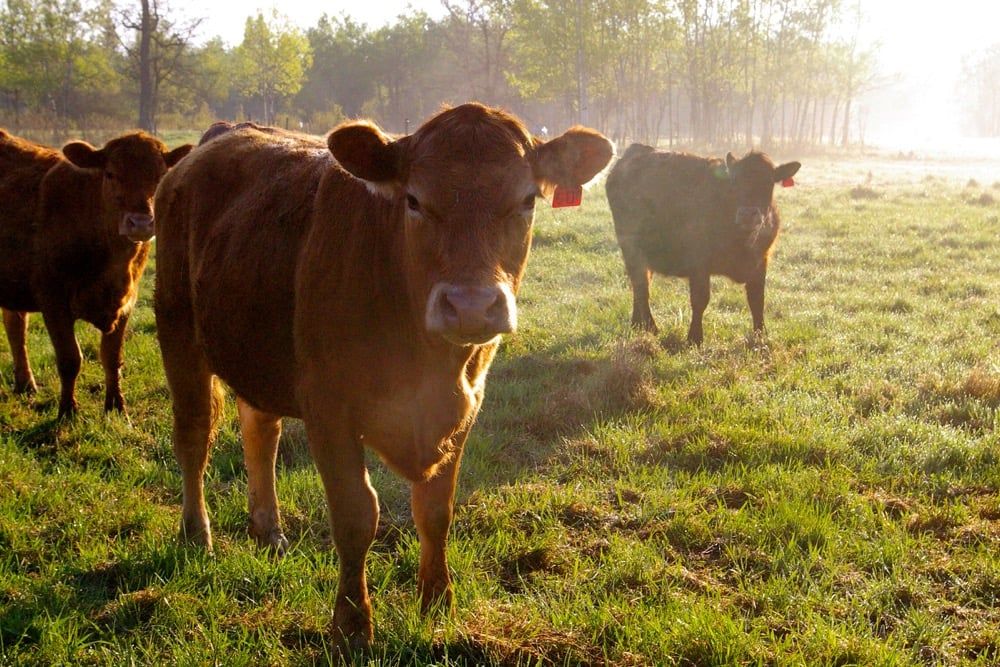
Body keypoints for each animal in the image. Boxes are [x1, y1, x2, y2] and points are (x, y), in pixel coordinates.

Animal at [0, 128, 191, 414]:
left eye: (160, 176)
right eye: (110, 173)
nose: (140, 223)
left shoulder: (127, 302)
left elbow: (112, 357)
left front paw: (116, 405)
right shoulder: (53, 301)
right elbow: (70, 359)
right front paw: (67, 409)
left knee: (15, 326)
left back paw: (26, 384)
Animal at [152, 105, 612, 652]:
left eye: (526, 200)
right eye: (414, 200)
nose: (471, 306)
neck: (428, 365)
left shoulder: (467, 405)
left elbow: (435, 511)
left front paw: (436, 603)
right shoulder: (328, 408)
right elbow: (356, 516)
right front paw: (352, 625)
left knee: (260, 432)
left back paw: (268, 531)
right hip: (178, 330)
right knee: (194, 436)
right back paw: (196, 533)